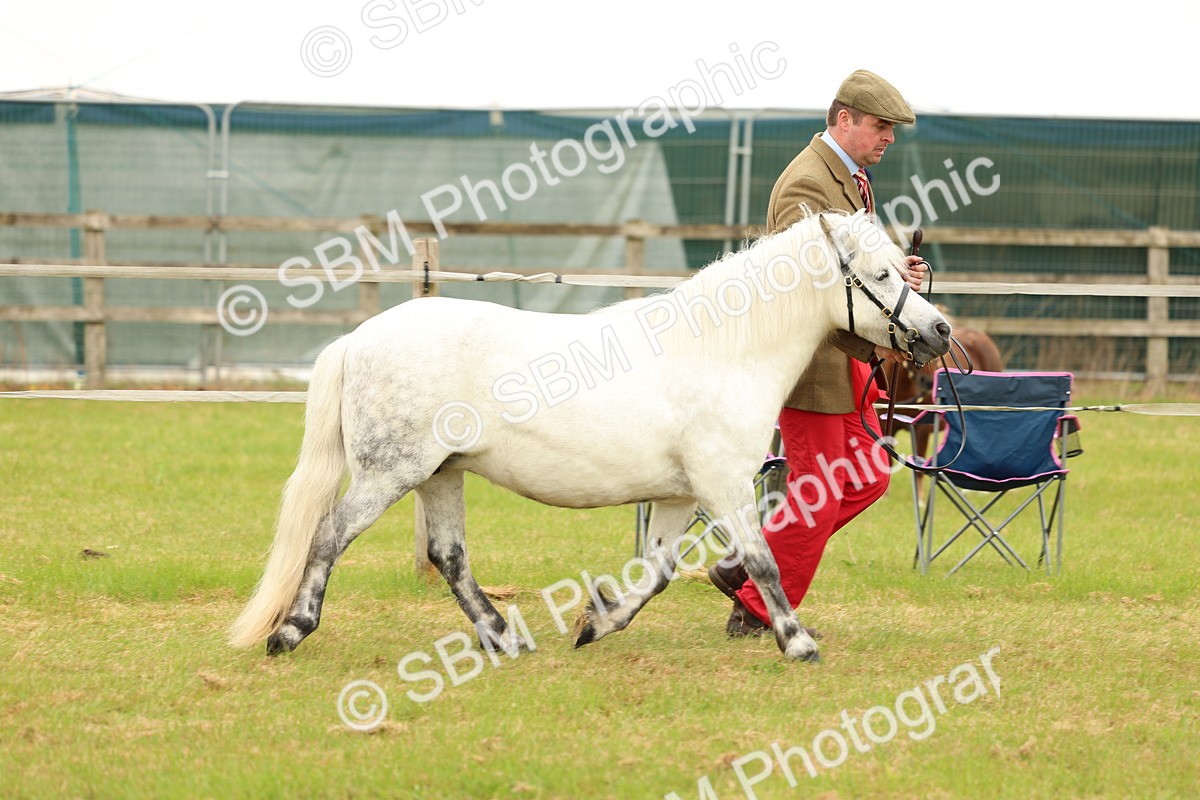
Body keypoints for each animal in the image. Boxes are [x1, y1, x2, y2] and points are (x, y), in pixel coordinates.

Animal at [228, 209, 952, 663]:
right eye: (881, 276)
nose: (939, 331)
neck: (722, 350)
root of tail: (359, 339)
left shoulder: (680, 495)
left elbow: (656, 573)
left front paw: (596, 624)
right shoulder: (723, 485)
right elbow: (764, 562)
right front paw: (798, 643)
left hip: (441, 474)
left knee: (449, 557)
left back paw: (503, 637)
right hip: (390, 473)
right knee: (329, 536)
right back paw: (290, 632)